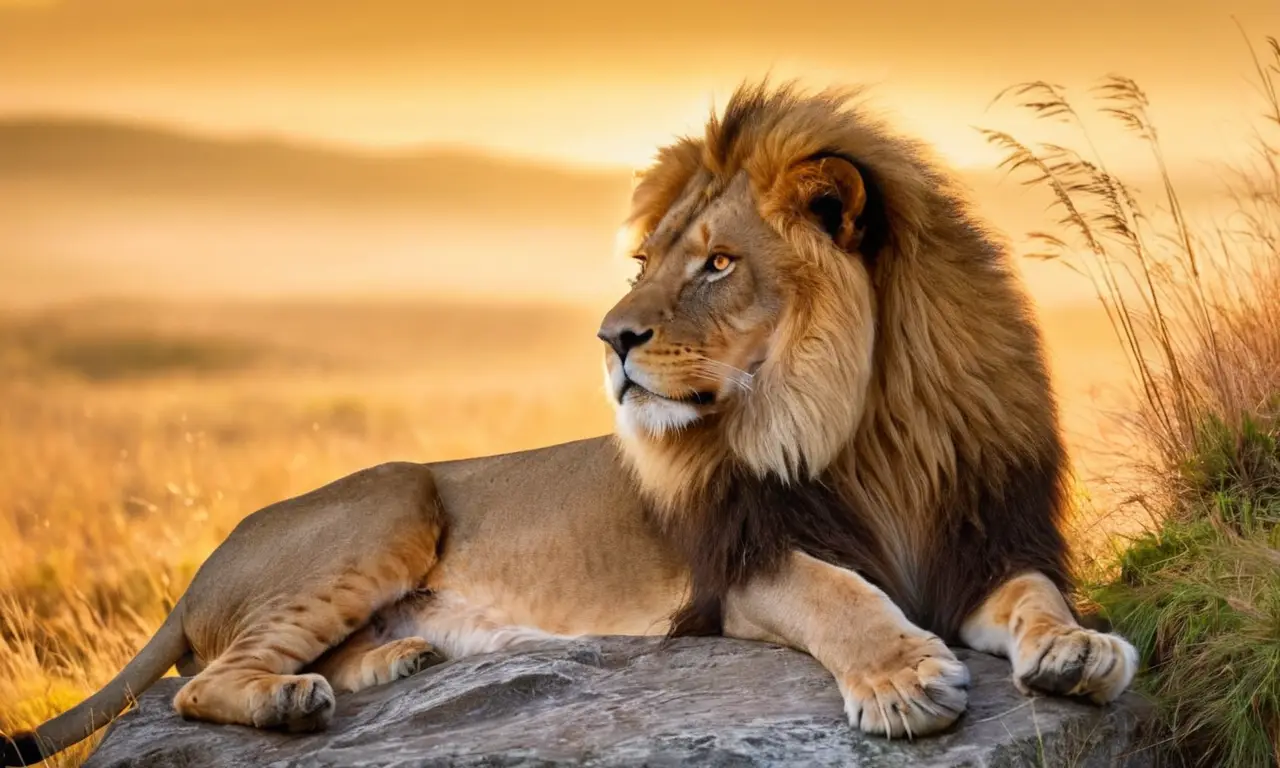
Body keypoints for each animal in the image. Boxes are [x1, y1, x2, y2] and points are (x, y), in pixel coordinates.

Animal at [2, 82, 1138, 765]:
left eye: (716, 262)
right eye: (645, 262)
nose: (610, 337)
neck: (864, 425)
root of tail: (197, 573)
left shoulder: (978, 539)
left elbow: (1035, 595)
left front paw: (1079, 649)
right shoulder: (736, 568)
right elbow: (839, 594)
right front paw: (905, 680)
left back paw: (392, 664)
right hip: (392, 497)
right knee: (199, 685)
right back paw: (293, 701)